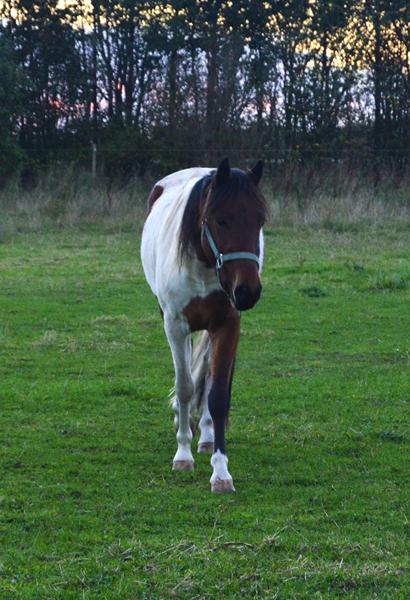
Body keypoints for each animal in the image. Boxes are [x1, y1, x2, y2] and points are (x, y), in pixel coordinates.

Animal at [141, 159, 268, 492]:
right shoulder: (175, 324)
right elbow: (185, 387)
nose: (248, 292)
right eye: (221, 220)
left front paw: (221, 472)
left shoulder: (227, 325)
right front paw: (182, 454)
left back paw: (207, 436)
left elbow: (218, 394)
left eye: (260, 220)